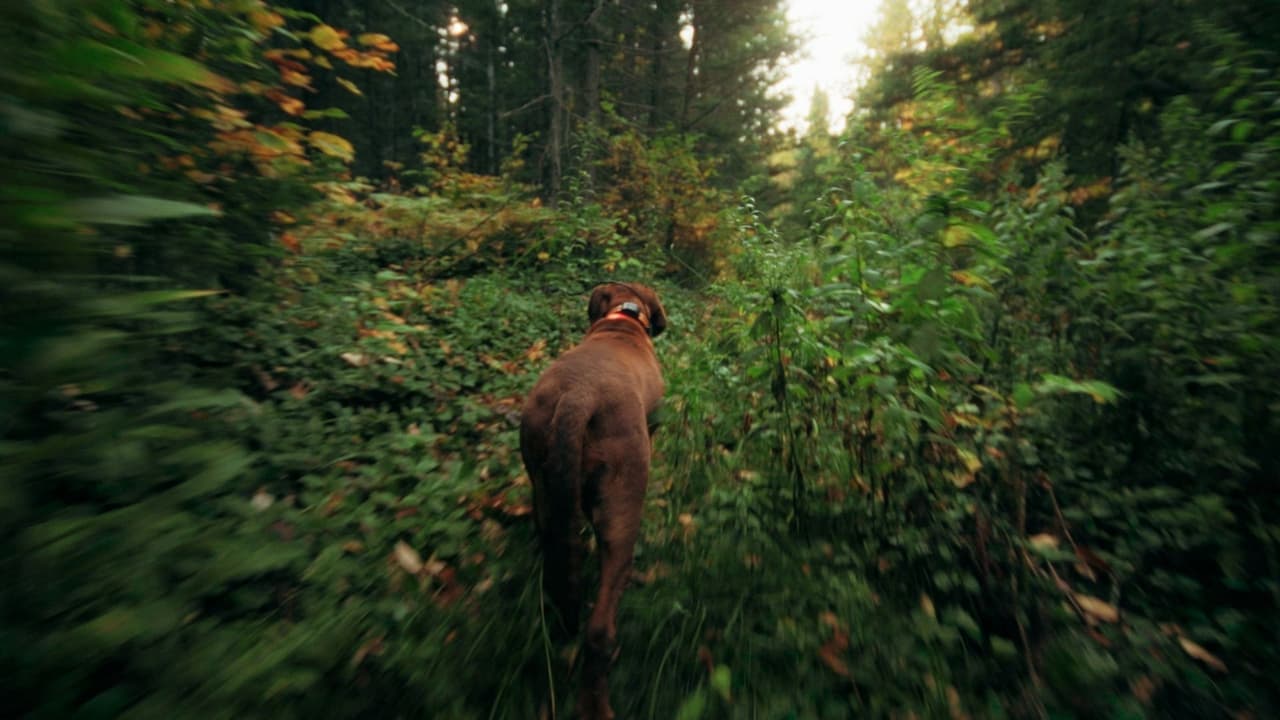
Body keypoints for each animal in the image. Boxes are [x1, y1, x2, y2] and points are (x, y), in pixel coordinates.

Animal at [517, 281, 665, 717]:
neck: (623, 319)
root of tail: (578, 398)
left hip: (544, 490)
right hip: (621, 510)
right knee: (599, 630)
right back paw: (597, 702)